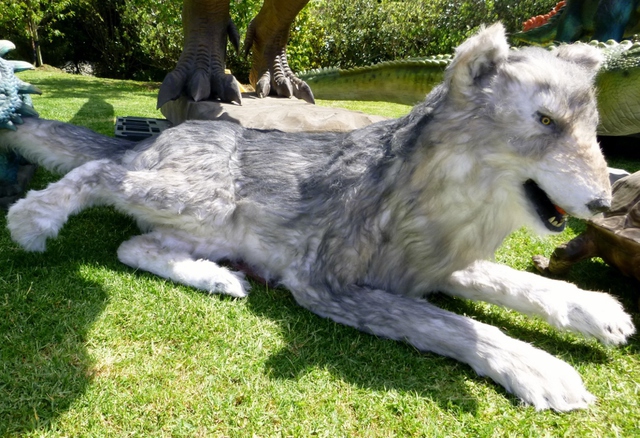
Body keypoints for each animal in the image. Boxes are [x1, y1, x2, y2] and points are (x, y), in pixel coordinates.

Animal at [0, 24, 635, 411]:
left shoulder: (431, 265)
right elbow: (453, 325)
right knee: (102, 175)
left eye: (591, 126)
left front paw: (595, 309)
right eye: (546, 121)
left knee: (135, 247)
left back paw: (221, 279)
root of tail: (161, 135)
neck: (444, 196)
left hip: (196, 225)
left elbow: (515, 282)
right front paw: (540, 369)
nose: (606, 205)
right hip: (197, 195)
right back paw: (33, 219)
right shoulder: (326, 282)